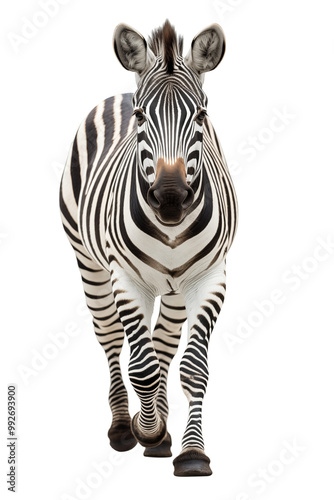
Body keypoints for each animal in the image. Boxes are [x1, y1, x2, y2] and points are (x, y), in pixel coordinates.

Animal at [59, 20, 237, 476]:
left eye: (202, 116)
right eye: (140, 117)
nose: (170, 199)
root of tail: (122, 90)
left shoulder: (210, 277)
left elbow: (191, 367)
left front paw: (191, 453)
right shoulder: (124, 277)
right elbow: (141, 367)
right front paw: (147, 429)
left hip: (174, 287)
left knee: (163, 345)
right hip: (89, 263)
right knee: (111, 338)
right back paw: (126, 426)